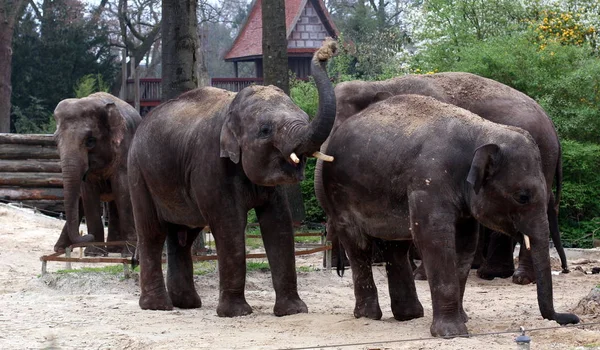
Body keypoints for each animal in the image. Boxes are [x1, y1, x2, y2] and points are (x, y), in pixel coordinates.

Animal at [52, 93, 142, 256]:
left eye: (90, 141)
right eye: (56, 141)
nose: (87, 235)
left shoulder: (124, 151)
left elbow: (123, 191)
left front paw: (128, 254)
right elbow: (88, 194)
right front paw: (94, 253)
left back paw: (116, 249)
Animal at [127, 39, 338, 316]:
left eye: (304, 117)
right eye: (265, 130)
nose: (326, 50)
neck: (232, 109)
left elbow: (279, 224)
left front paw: (294, 311)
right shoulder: (210, 164)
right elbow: (229, 225)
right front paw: (237, 312)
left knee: (183, 236)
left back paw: (187, 304)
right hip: (139, 173)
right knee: (152, 232)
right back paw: (159, 306)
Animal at [318, 72, 568, 284]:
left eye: (340, 130)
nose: (339, 270)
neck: (379, 83)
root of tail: (552, 126)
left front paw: (420, 276)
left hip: (539, 159)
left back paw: (518, 277)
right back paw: (492, 273)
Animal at [322, 94, 580, 338]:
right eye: (522, 197)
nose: (572, 318)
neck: (482, 131)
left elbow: (464, 245)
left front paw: (462, 319)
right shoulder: (429, 181)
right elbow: (435, 239)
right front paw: (452, 333)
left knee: (395, 247)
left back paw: (408, 315)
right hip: (339, 197)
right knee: (358, 246)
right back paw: (369, 315)